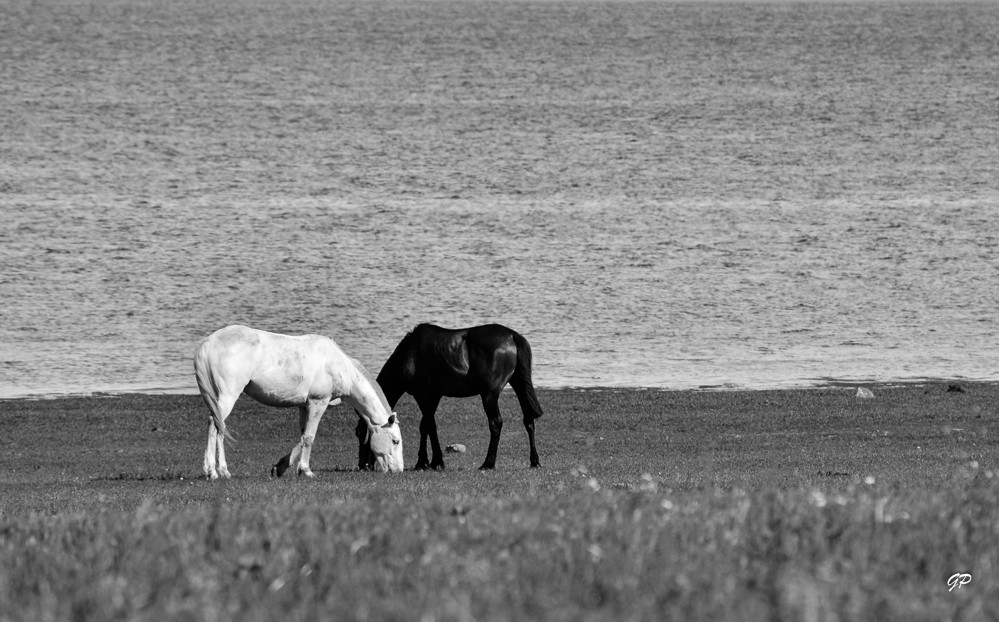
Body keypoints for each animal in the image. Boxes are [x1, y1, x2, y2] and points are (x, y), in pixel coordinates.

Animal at [193, 324, 404, 480]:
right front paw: (306, 470)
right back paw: (217, 471)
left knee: (217, 426)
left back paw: (215, 470)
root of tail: (208, 343)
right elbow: (310, 437)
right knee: (216, 426)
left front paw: (281, 467)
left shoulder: (304, 406)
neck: (338, 365)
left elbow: (302, 437)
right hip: (228, 395)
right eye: (395, 441)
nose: (399, 470)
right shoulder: (318, 403)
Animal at [358, 324, 548, 470]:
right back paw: (535, 461)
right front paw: (426, 461)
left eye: (360, 434)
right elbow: (425, 426)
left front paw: (433, 462)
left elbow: (429, 425)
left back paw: (488, 463)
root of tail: (512, 336)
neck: (410, 354)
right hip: (519, 385)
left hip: (489, 395)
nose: (363, 466)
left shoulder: (424, 395)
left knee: (496, 423)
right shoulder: (433, 397)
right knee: (528, 420)